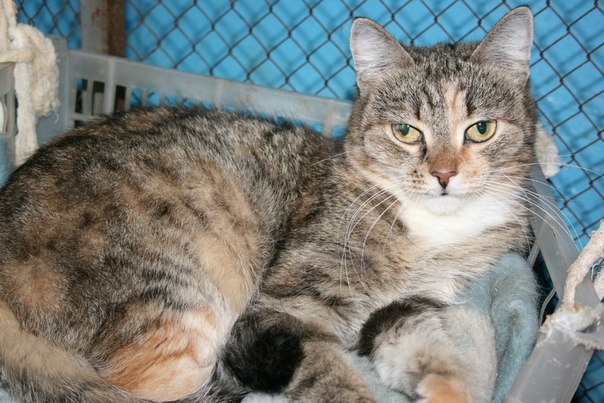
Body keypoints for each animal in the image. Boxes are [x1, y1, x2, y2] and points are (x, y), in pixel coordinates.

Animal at [0, 7, 538, 403]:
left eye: (481, 129)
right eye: (406, 131)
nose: (444, 174)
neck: (431, 231)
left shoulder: (406, 305)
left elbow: (422, 344)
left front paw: (449, 387)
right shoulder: (282, 311)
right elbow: (329, 374)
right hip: (176, 297)